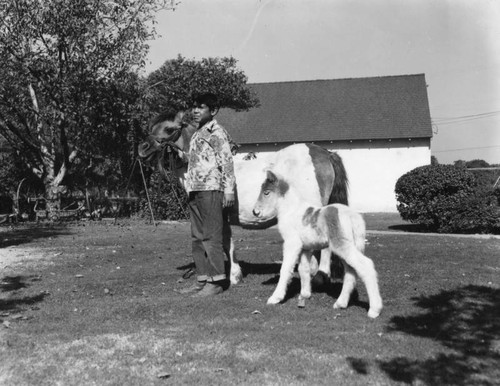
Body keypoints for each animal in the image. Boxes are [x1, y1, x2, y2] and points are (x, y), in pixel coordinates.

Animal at [139, 108, 350, 286]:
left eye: (168, 128)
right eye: (151, 127)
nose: (142, 148)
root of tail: (325, 153)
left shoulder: (221, 216)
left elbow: (227, 245)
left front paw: (234, 276)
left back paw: (320, 276)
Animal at [254, 170, 382, 318]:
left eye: (266, 192)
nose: (255, 212)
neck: (291, 210)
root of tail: (353, 217)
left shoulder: (292, 243)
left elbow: (285, 269)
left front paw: (275, 298)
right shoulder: (305, 248)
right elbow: (303, 269)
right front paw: (304, 295)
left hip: (342, 246)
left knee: (366, 265)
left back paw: (374, 310)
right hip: (350, 247)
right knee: (350, 271)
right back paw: (341, 303)